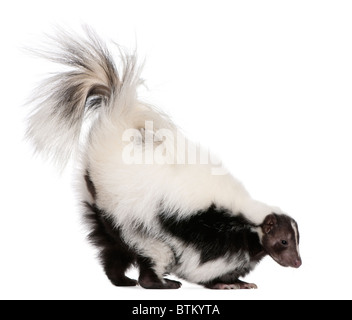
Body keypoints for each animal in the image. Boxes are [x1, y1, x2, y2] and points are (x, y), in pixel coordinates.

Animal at [27, 28, 302, 290]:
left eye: (297, 240)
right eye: (283, 241)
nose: (298, 262)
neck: (247, 217)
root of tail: (109, 144)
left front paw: (240, 281)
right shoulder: (203, 231)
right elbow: (203, 263)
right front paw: (224, 283)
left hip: (104, 216)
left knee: (113, 250)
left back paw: (122, 280)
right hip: (135, 221)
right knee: (151, 253)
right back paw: (160, 283)